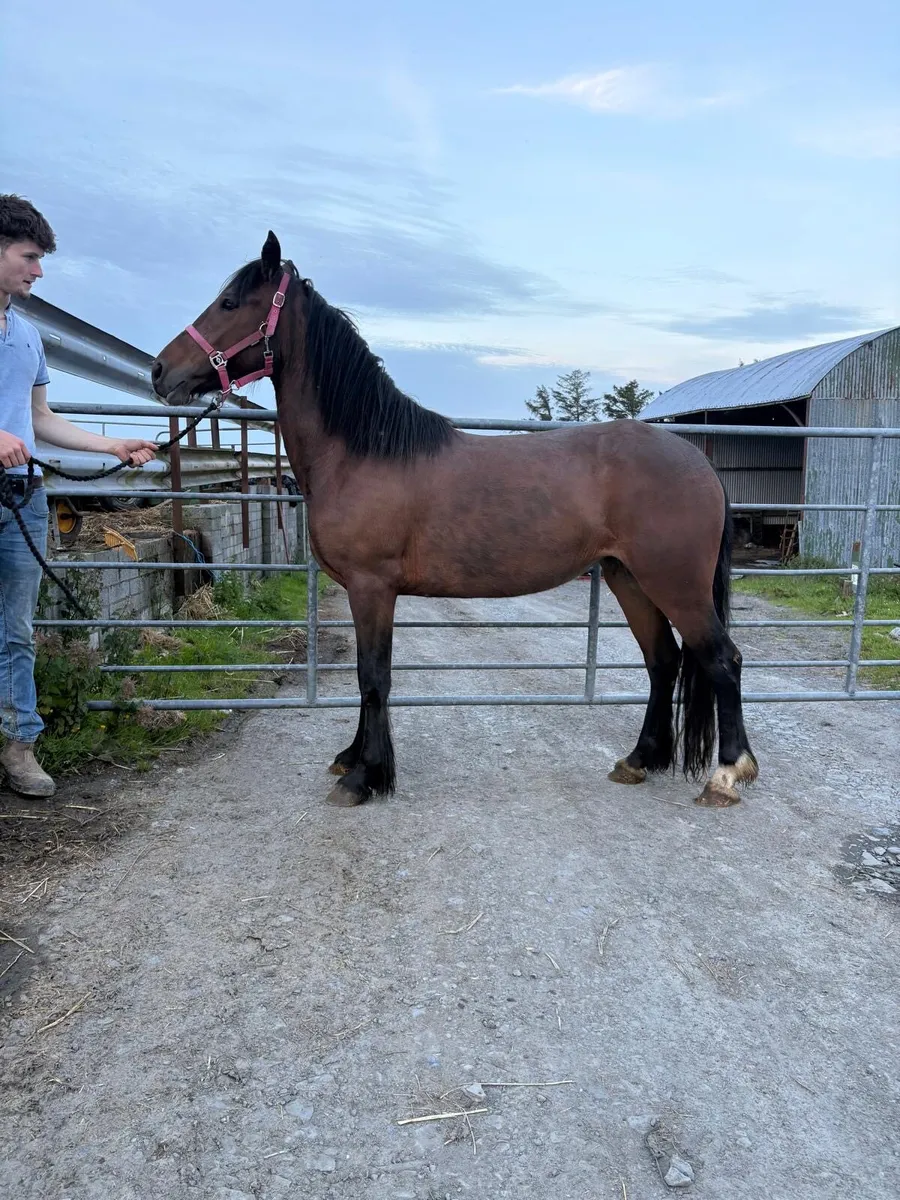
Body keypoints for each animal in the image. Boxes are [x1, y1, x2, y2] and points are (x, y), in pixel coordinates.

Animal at [151, 232, 758, 810]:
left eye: (230, 303)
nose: (160, 371)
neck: (361, 452)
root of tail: (698, 461)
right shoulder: (363, 591)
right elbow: (367, 678)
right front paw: (353, 759)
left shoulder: (372, 588)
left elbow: (374, 678)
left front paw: (366, 778)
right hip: (627, 577)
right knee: (664, 661)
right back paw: (639, 759)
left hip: (674, 583)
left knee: (721, 659)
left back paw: (727, 775)